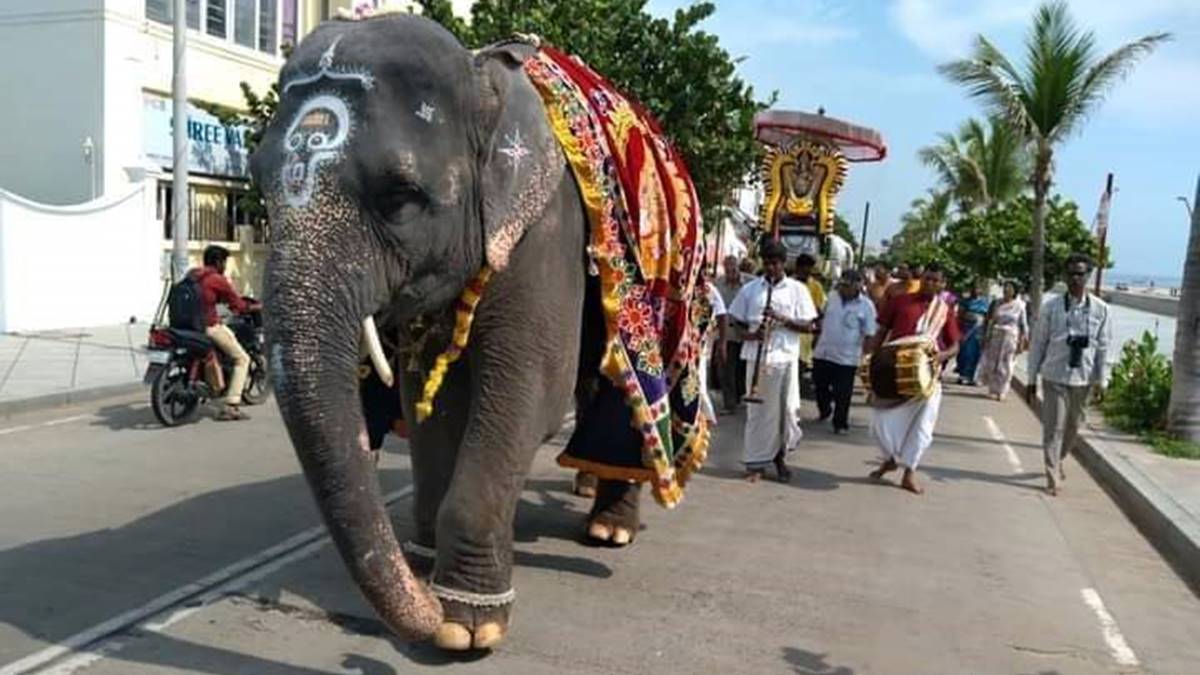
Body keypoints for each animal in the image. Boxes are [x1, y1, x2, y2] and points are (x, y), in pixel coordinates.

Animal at [251, 13, 705, 652]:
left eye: (400, 197)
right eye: (256, 184)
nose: (423, 599)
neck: (483, 79)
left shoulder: (547, 229)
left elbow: (530, 389)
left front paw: (464, 626)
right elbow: (430, 402)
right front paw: (429, 567)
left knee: (626, 385)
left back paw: (610, 529)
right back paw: (585, 487)